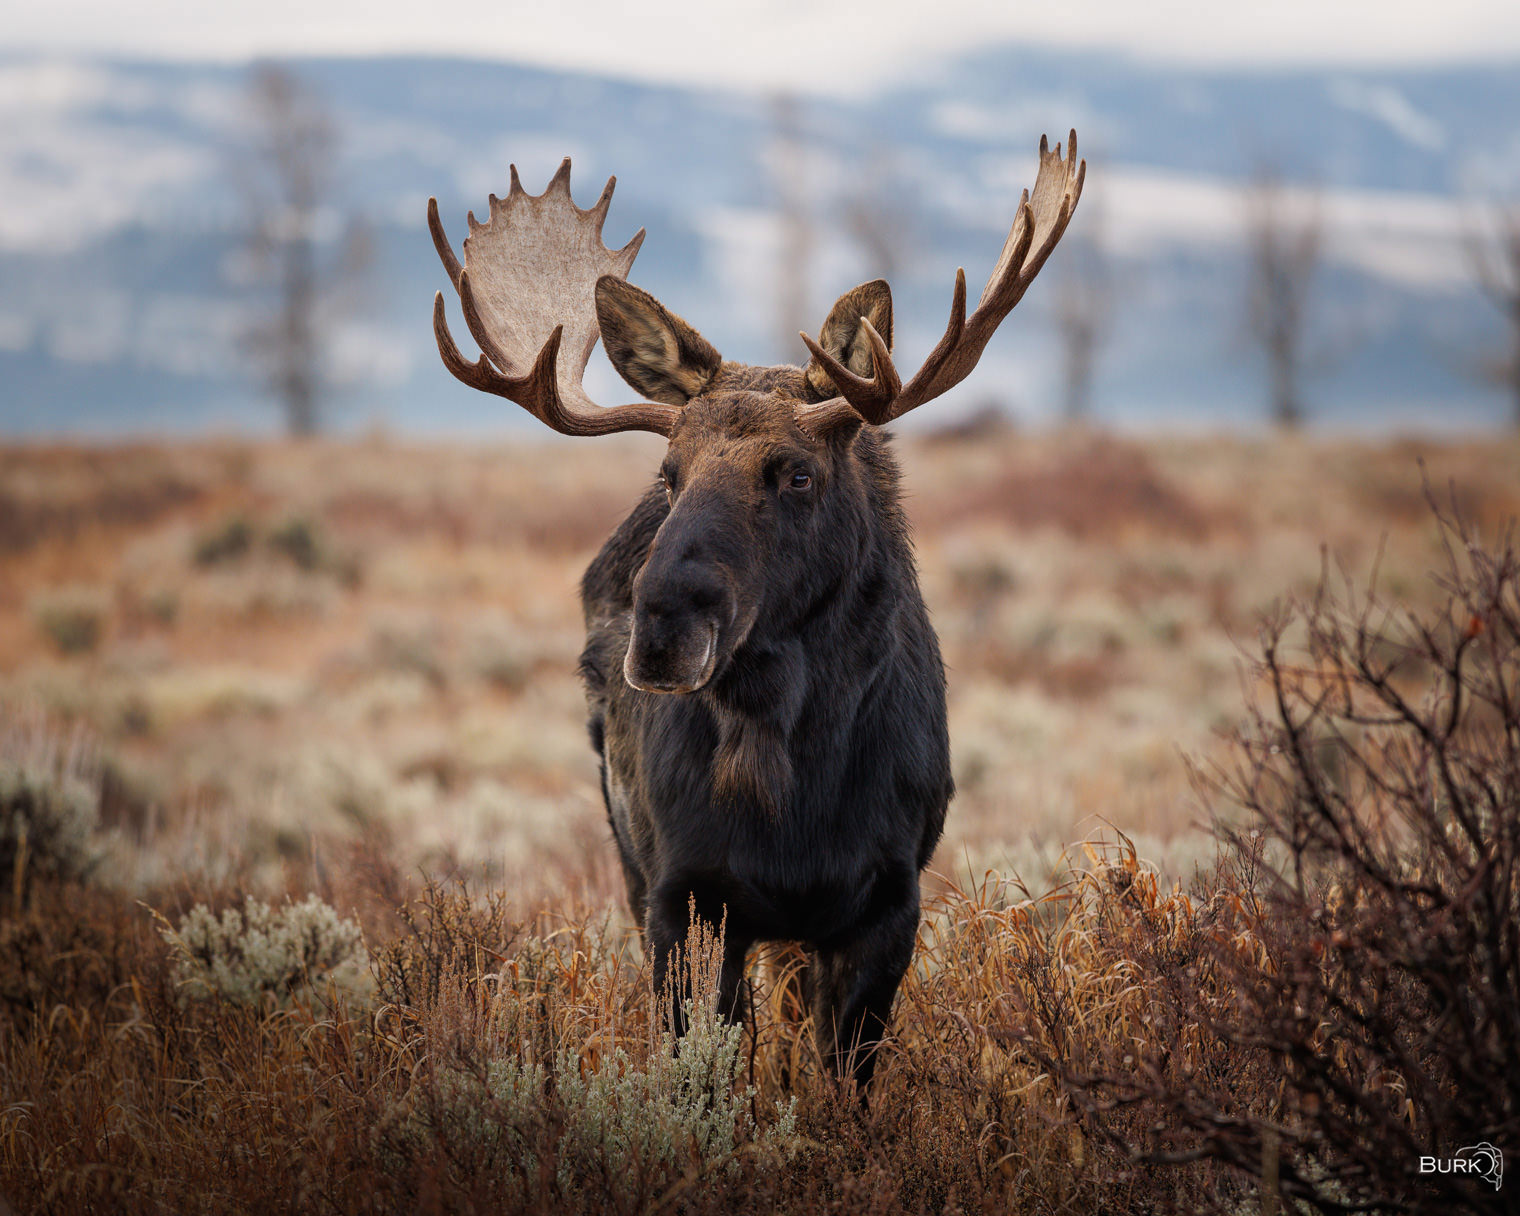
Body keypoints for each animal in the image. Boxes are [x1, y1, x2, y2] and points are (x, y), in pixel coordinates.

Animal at [428, 132, 1084, 1090]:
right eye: (670, 474)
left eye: (796, 473)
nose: (663, 628)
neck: (787, 784)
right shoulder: (684, 896)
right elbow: (706, 1071)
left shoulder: (888, 900)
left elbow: (844, 1080)